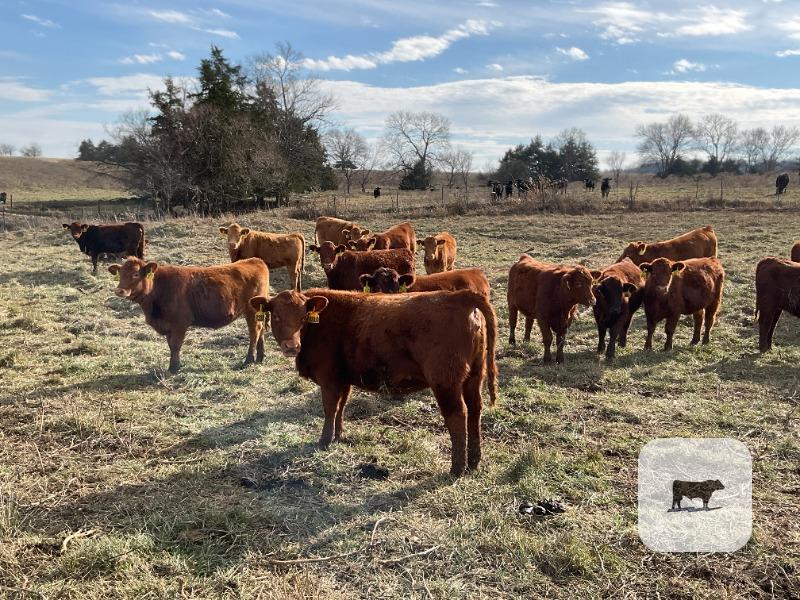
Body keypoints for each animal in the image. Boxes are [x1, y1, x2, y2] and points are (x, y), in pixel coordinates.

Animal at [108, 257, 269, 373]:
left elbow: (175, 345)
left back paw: (248, 360)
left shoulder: (179, 323)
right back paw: (260, 358)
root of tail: (255, 260)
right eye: (120, 274)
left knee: (254, 332)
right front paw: (175, 365)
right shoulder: (169, 326)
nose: (119, 291)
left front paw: (173, 368)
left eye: (135, 274)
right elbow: (171, 345)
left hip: (251, 311)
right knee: (260, 330)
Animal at [248, 288, 497, 475]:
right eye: (276, 316)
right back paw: (474, 461)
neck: (318, 325)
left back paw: (457, 468)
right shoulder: (343, 379)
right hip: (474, 376)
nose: (292, 347)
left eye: (302, 318)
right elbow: (341, 407)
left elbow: (329, 408)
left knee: (458, 415)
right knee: (475, 410)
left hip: (445, 380)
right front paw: (338, 436)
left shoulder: (329, 378)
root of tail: (458, 295)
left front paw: (324, 441)